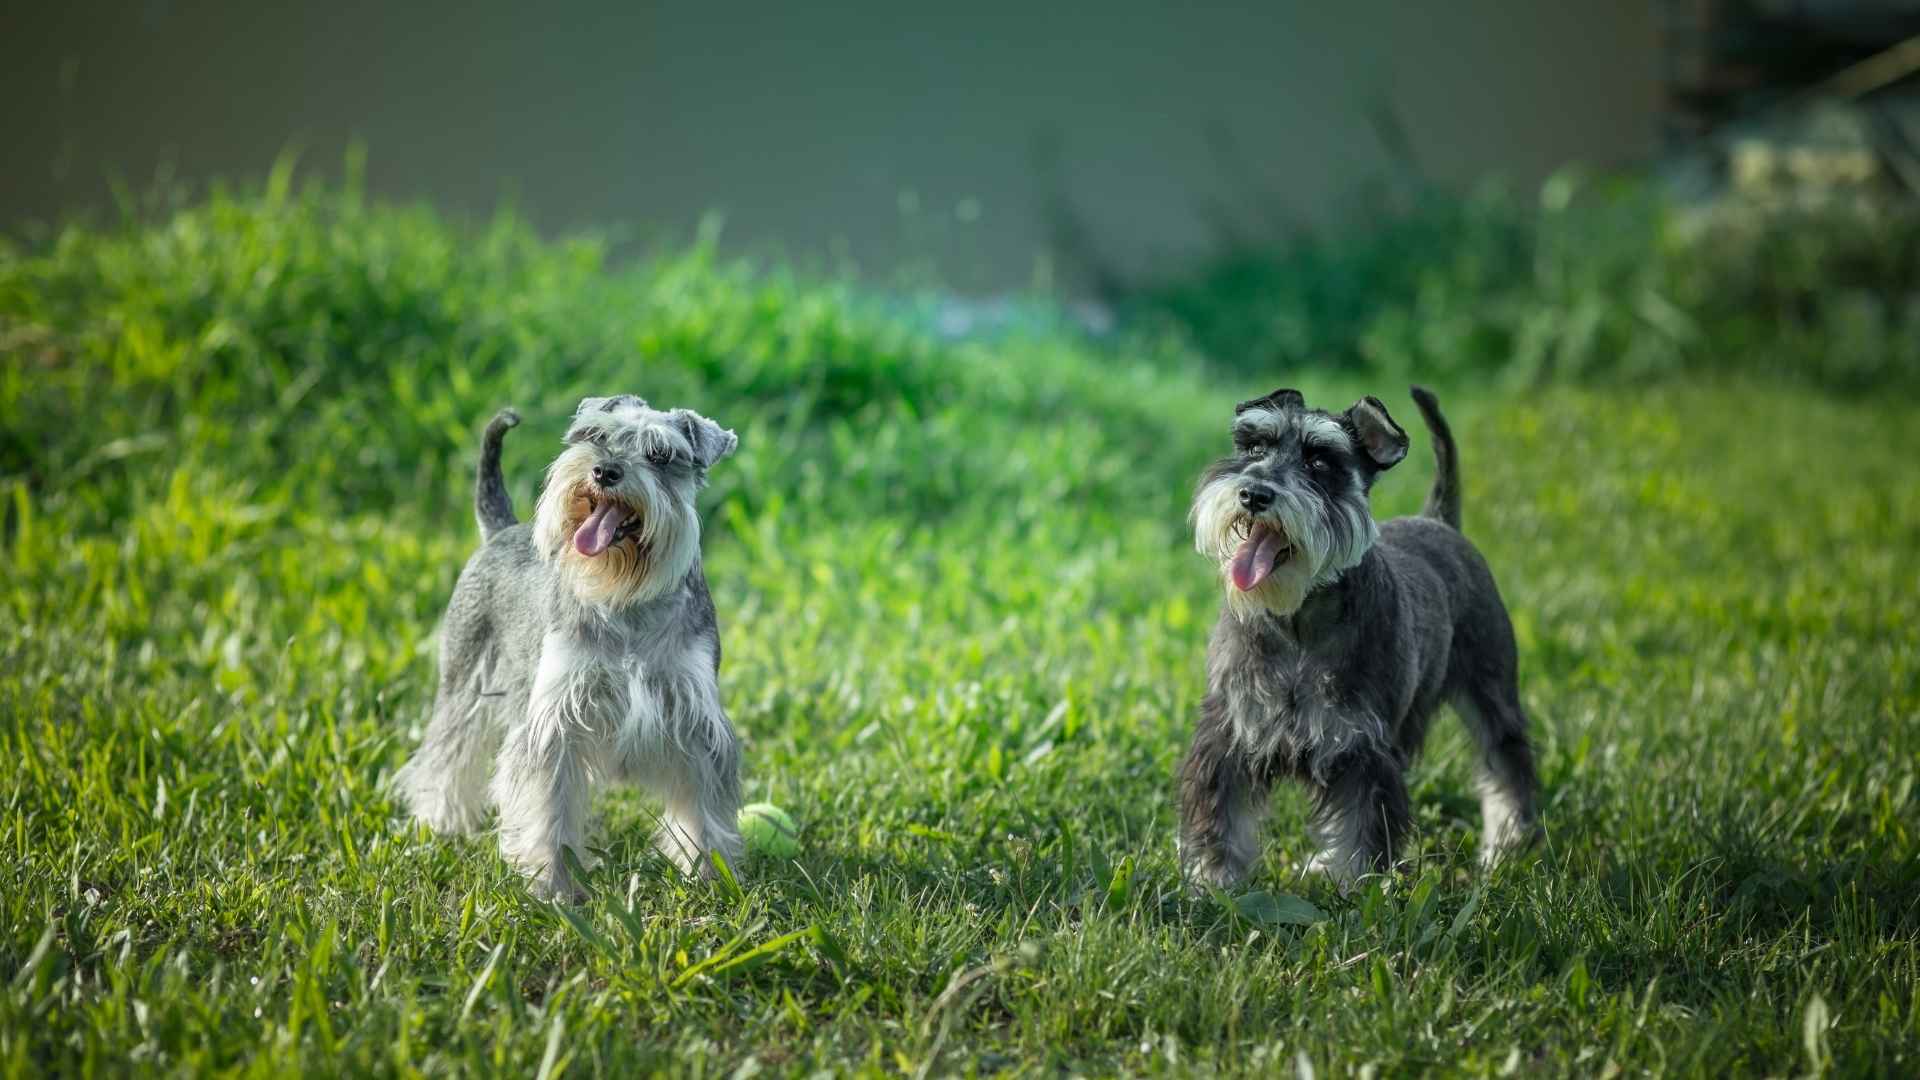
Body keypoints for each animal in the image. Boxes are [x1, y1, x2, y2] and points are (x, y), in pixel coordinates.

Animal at [395, 390, 741, 895]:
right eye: (594, 435)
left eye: (660, 454)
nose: (604, 471)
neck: (625, 597)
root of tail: (502, 529)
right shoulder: (555, 721)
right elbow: (547, 809)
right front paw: (554, 886)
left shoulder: (694, 718)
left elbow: (704, 807)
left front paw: (711, 877)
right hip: (463, 680)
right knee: (445, 754)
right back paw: (440, 822)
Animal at [1175, 382, 1536, 887]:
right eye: (1255, 447)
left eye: (1320, 463)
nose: (1253, 493)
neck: (1296, 622)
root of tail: (1438, 520)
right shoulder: (1229, 734)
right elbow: (1220, 815)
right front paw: (1213, 882)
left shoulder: (1363, 748)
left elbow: (1361, 827)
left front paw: (1356, 888)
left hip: (1491, 687)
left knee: (1507, 761)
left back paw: (1508, 844)